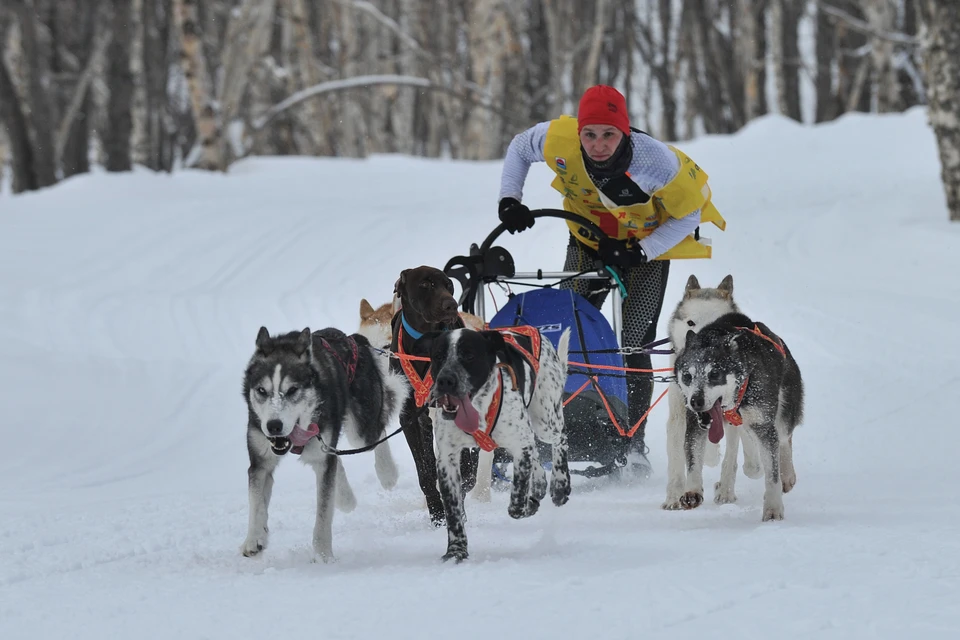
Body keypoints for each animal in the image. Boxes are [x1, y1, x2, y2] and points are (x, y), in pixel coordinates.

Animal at [390, 264, 480, 524]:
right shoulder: (409, 417)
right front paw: (436, 510)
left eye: (449, 285)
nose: (451, 304)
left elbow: (464, 468)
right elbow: (425, 470)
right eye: (426, 284)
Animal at [420, 328, 568, 564]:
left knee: (560, 438)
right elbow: (452, 512)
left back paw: (560, 485)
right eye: (438, 356)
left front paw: (527, 505)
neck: (478, 409)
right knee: (535, 452)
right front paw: (456, 550)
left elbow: (517, 501)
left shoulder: (519, 445)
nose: (445, 381)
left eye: (469, 355)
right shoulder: (447, 460)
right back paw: (539, 485)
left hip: (545, 421)